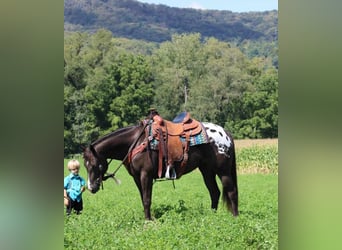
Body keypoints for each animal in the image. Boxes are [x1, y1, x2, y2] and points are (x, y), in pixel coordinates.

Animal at [82, 116, 238, 220]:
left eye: (96, 164)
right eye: (85, 165)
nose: (91, 188)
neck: (135, 141)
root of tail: (226, 134)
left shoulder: (146, 175)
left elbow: (147, 199)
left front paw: (148, 221)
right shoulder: (137, 178)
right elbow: (143, 198)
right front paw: (148, 218)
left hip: (223, 171)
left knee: (231, 192)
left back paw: (235, 217)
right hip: (207, 171)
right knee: (214, 192)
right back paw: (212, 216)